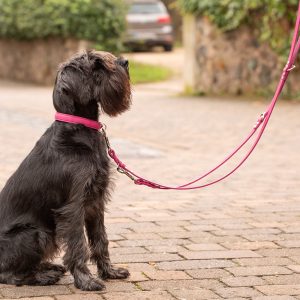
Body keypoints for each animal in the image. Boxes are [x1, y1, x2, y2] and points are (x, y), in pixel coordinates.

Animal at [0, 49, 132, 290]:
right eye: (96, 65)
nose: (125, 62)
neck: (78, 130)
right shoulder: (73, 208)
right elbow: (78, 245)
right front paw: (86, 281)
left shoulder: (95, 202)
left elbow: (101, 239)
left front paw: (109, 272)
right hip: (35, 233)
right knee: (9, 274)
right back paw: (42, 277)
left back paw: (49, 267)